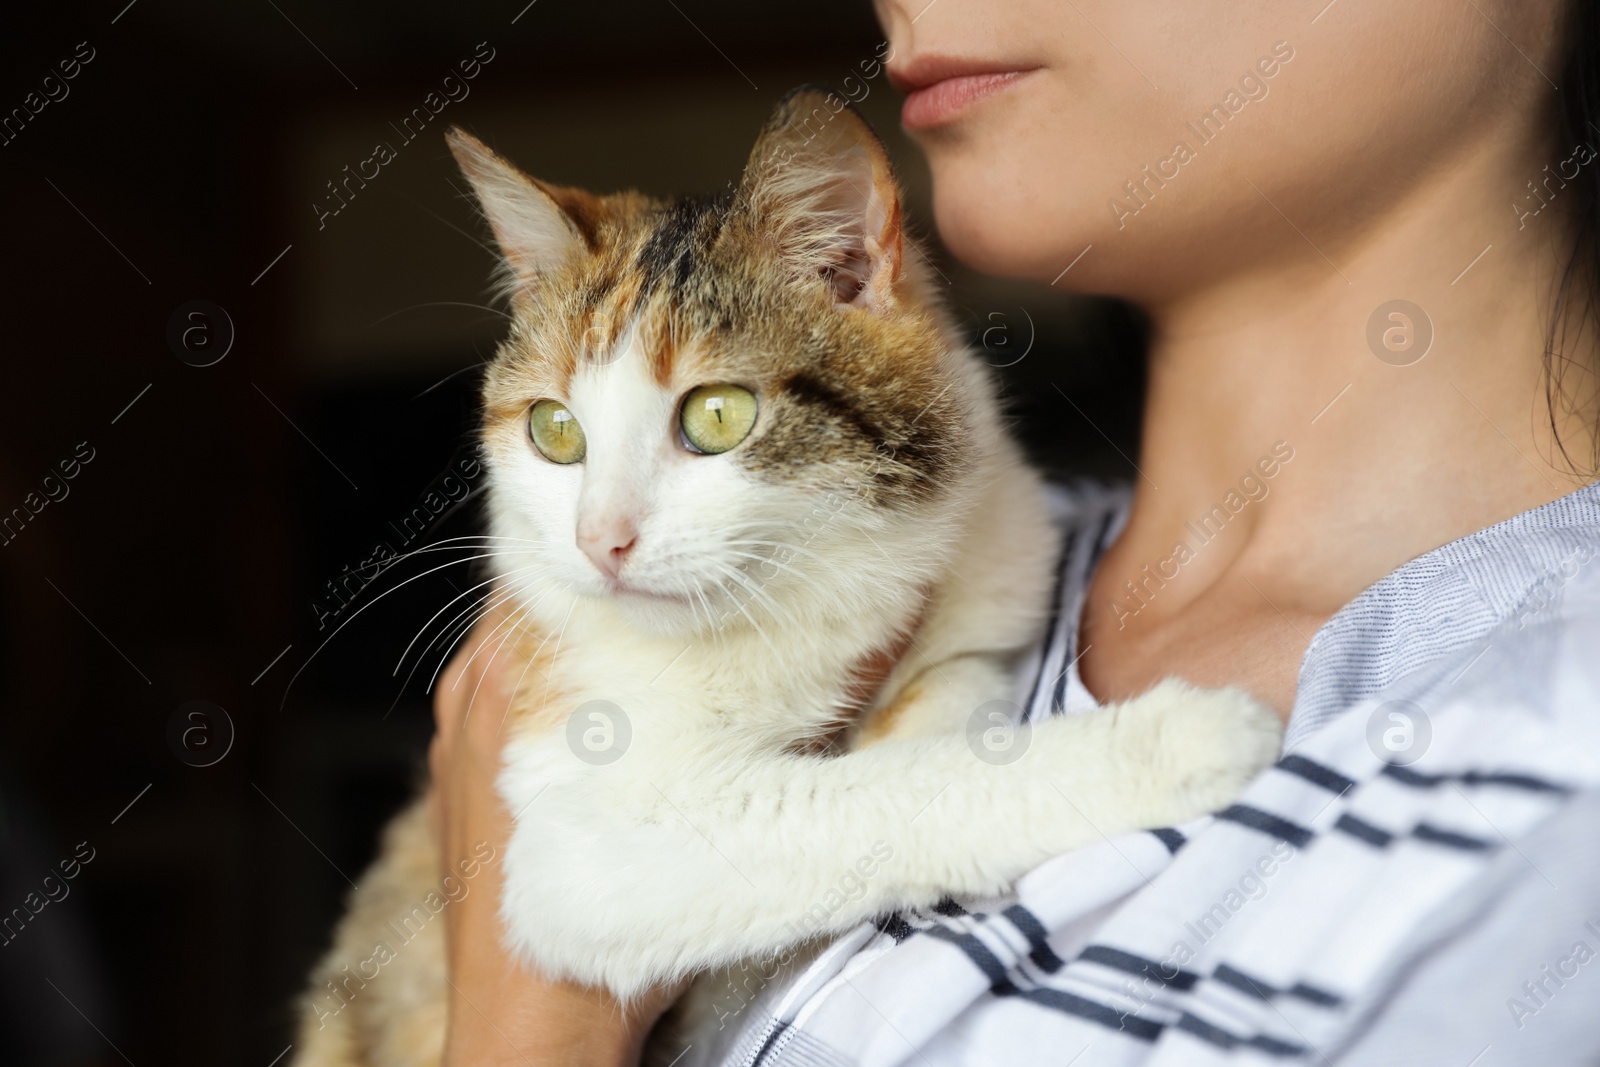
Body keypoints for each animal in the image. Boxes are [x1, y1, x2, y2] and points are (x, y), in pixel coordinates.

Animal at [294, 85, 1280, 1067]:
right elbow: (874, 797)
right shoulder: (571, 845)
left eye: (718, 415)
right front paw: (1173, 741)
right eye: (555, 430)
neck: (801, 599)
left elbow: (950, 691)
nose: (600, 538)